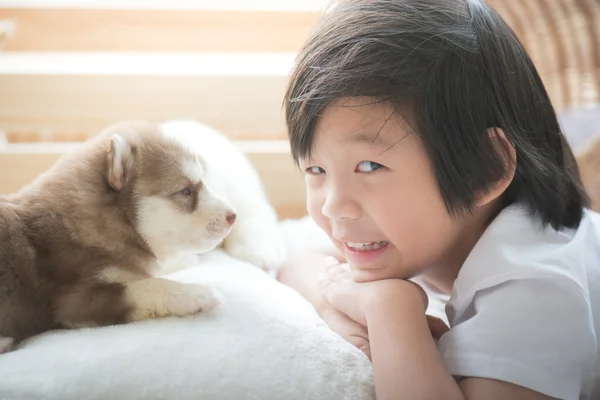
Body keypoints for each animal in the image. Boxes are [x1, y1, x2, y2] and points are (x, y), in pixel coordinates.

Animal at [0, 120, 236, 352]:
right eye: (186, 191)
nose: (234, 215)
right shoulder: (74, 302)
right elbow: (147, 285)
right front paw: (198, 293)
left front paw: (185, 261)